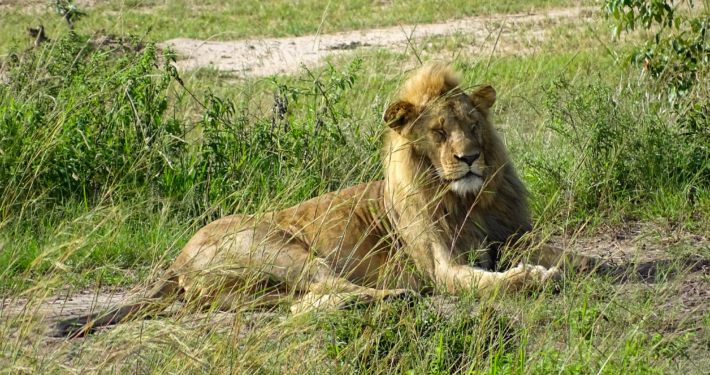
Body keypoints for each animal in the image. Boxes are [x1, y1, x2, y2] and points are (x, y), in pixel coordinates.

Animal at [51, 62, 608, 338]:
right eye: (437, 131)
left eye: (473, 125)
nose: (469, 157)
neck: (467, 198)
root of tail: (177, 259)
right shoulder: (440, 265)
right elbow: (487, 281)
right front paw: (531, 280)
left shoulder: (511, 233)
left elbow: (560, 251)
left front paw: (591, 263)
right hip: (280, 247)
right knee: (318, 293)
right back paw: (393, 297)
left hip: (259, 287)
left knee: (303, 303)